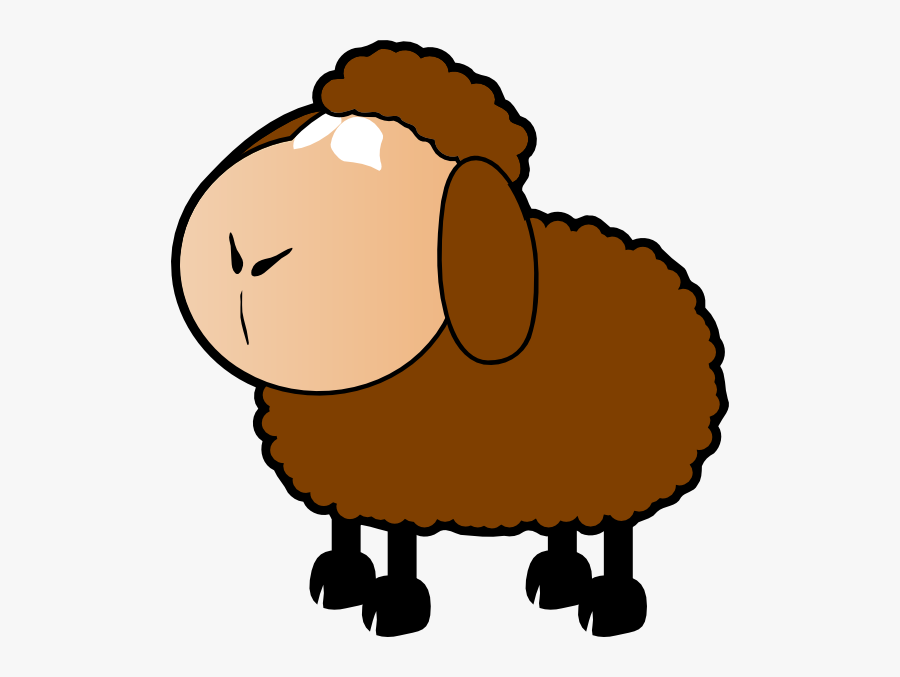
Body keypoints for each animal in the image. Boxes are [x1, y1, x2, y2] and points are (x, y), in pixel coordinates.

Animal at [172, 40, 728, 638]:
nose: (247, 256)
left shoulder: (403, 478)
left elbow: (398, 544)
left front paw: (393, 606)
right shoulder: (348, 472)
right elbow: (346, 524)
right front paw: (341, 580)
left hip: (626, 462)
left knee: (617, 533)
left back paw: (609, 606)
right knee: (566, 523)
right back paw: (556, 580)